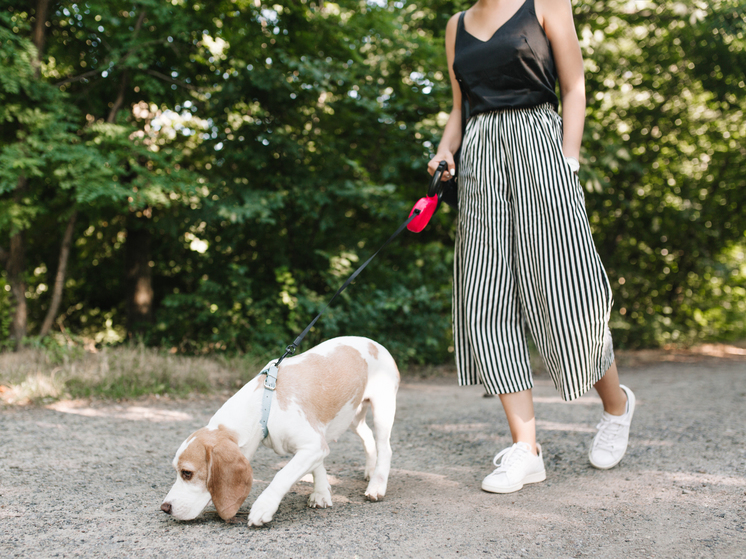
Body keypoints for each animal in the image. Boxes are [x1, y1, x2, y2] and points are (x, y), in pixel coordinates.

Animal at [160, 336, 398, 528]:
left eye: (187, 473)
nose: (165, 508)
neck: (264, 404)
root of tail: (375, 343)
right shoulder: (316, 443)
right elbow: (318, 468)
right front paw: (321, 492)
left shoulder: (313, 446)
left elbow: (282, 475)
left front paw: (263, 507)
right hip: (352, 417)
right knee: (368, 438)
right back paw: (369, 470)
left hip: (382, 411)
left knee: (385, 448)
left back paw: (377, 485)